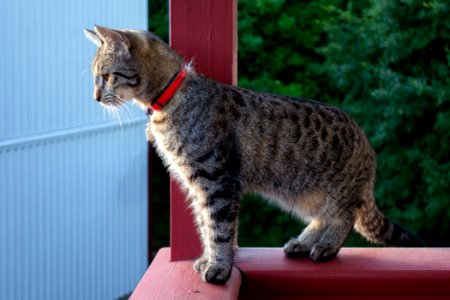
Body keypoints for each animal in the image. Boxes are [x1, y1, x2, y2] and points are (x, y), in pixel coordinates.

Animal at [86, 25, 424, 284]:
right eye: (95, 77)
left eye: (107, 76)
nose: (96, 97)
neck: (168, 99)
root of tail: (367, 147)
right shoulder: (196, 185)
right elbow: (205, 226)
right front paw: (208, 259)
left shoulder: (217, 180)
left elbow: (219, 229)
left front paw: (219, 267)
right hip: (304, 195)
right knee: (323, 217)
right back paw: (304, 242)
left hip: (335, 191)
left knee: (344, 217)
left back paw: (326, 246)